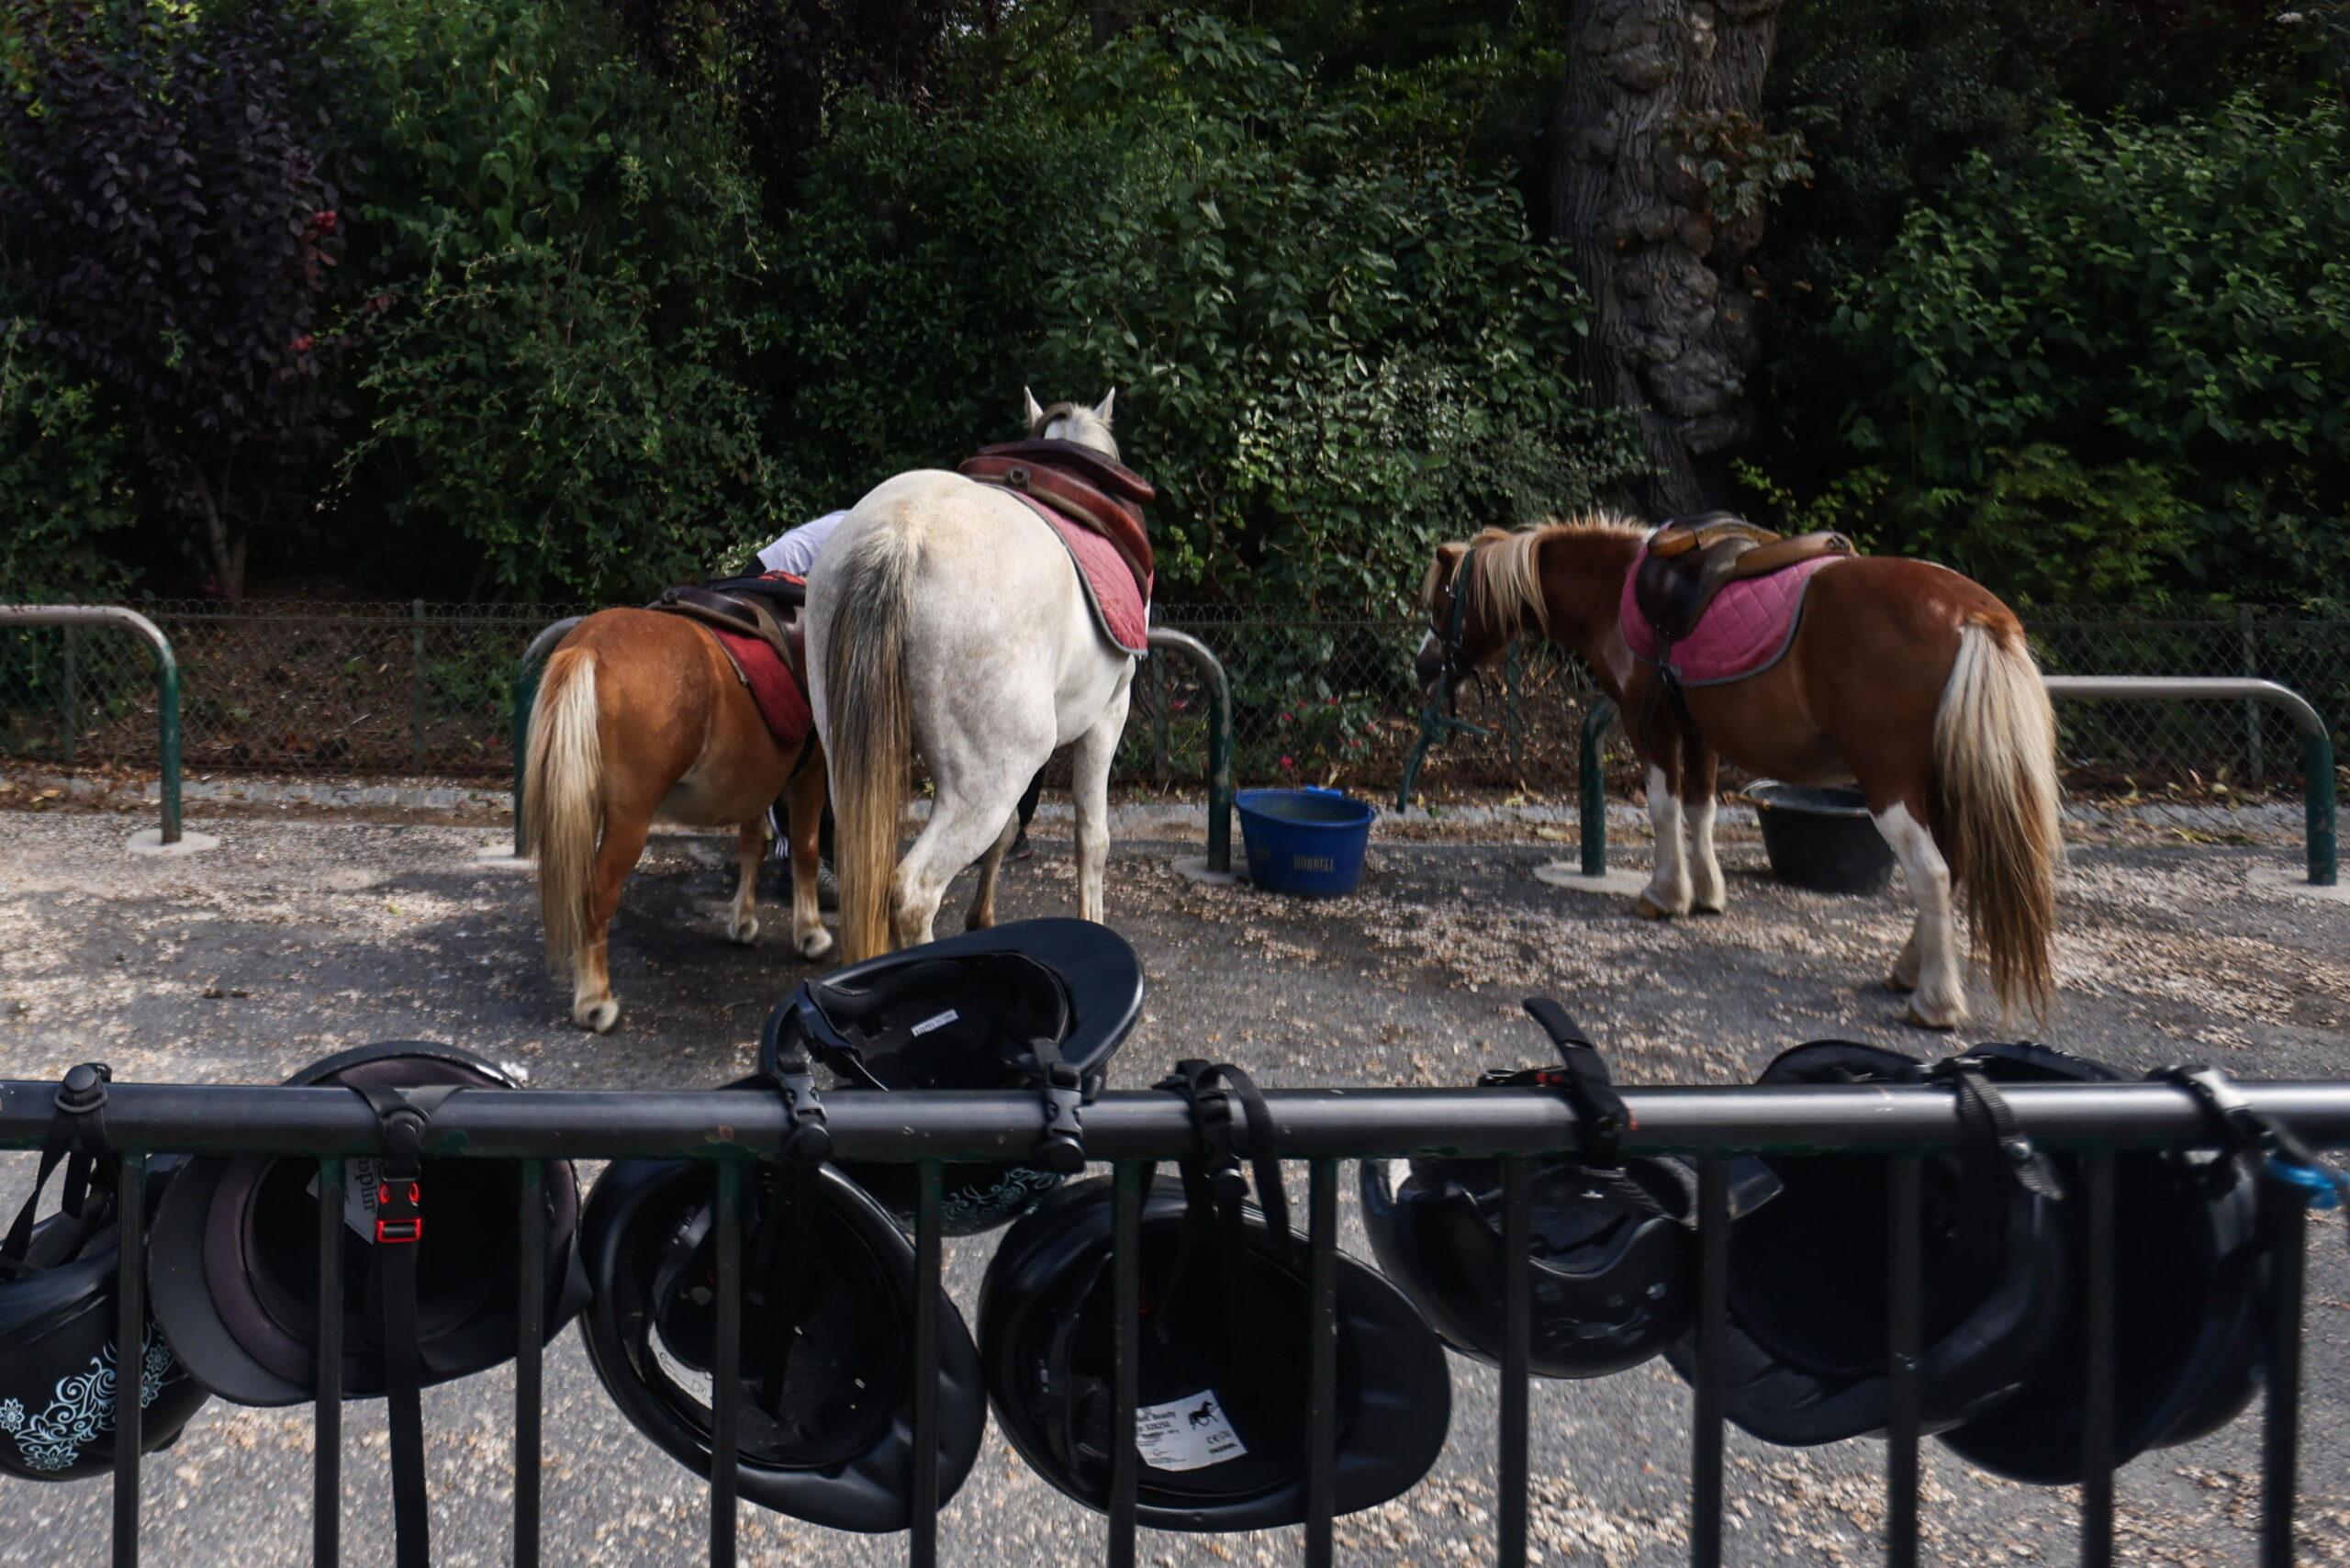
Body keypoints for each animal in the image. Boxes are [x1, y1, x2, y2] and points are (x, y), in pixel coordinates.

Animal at [526, 610, 836, 1029]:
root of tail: (590, 644)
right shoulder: (809, 774)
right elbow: (805, 849)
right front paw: (810, 933)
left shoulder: (756, 782)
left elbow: (752, 844)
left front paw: (743, 921)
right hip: (629, 819)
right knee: (596, 894)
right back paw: (595, 1000)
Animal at [808, 390, 1137, 958]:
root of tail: (902, 534)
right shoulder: (1108, 716)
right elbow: (1092, 837)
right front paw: (1093, 923)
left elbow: (1008, 834)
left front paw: (982, 918)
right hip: (989, 777)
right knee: (913, 893)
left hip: (849, 754)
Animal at [1410, 514, 2058, 1029]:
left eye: (1442, 603)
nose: (1422, 667)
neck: (1617, 593)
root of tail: (1973, 614)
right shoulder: (1700, 734)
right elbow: (1702, 810)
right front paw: (1706, 894)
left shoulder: (1651, 727)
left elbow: (1664, 808)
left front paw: (1666, 894)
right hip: (1938, 784)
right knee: (1954, 868)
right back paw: (1908, 970)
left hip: (1890, 782)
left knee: (1931, 874)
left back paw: (1935, 1001)